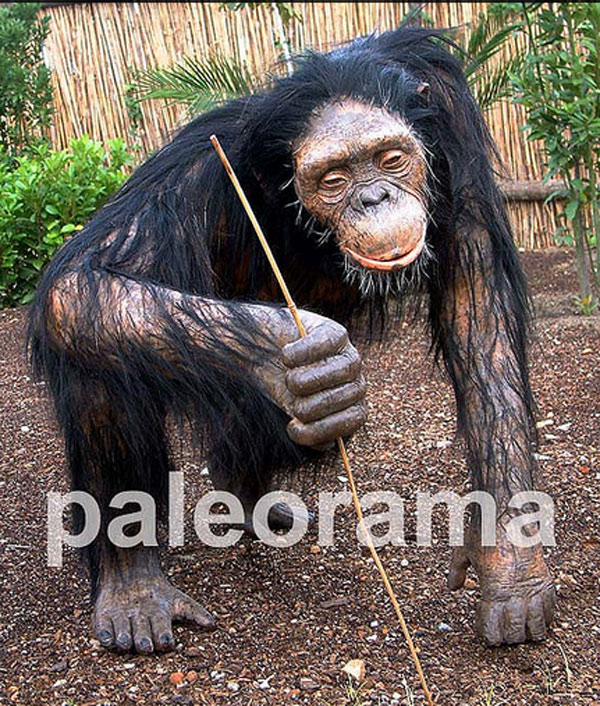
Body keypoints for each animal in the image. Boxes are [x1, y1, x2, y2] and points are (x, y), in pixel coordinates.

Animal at [27, 28, 552, 656]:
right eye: (333, 179)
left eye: (390, 159)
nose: (373, 198)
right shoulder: (197, 166)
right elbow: (85, 275)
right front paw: (291, 361)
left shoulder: (452, 121)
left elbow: (476, 300)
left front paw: (510, 562)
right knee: (94, 351)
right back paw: (134, 591)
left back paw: (248, 501)